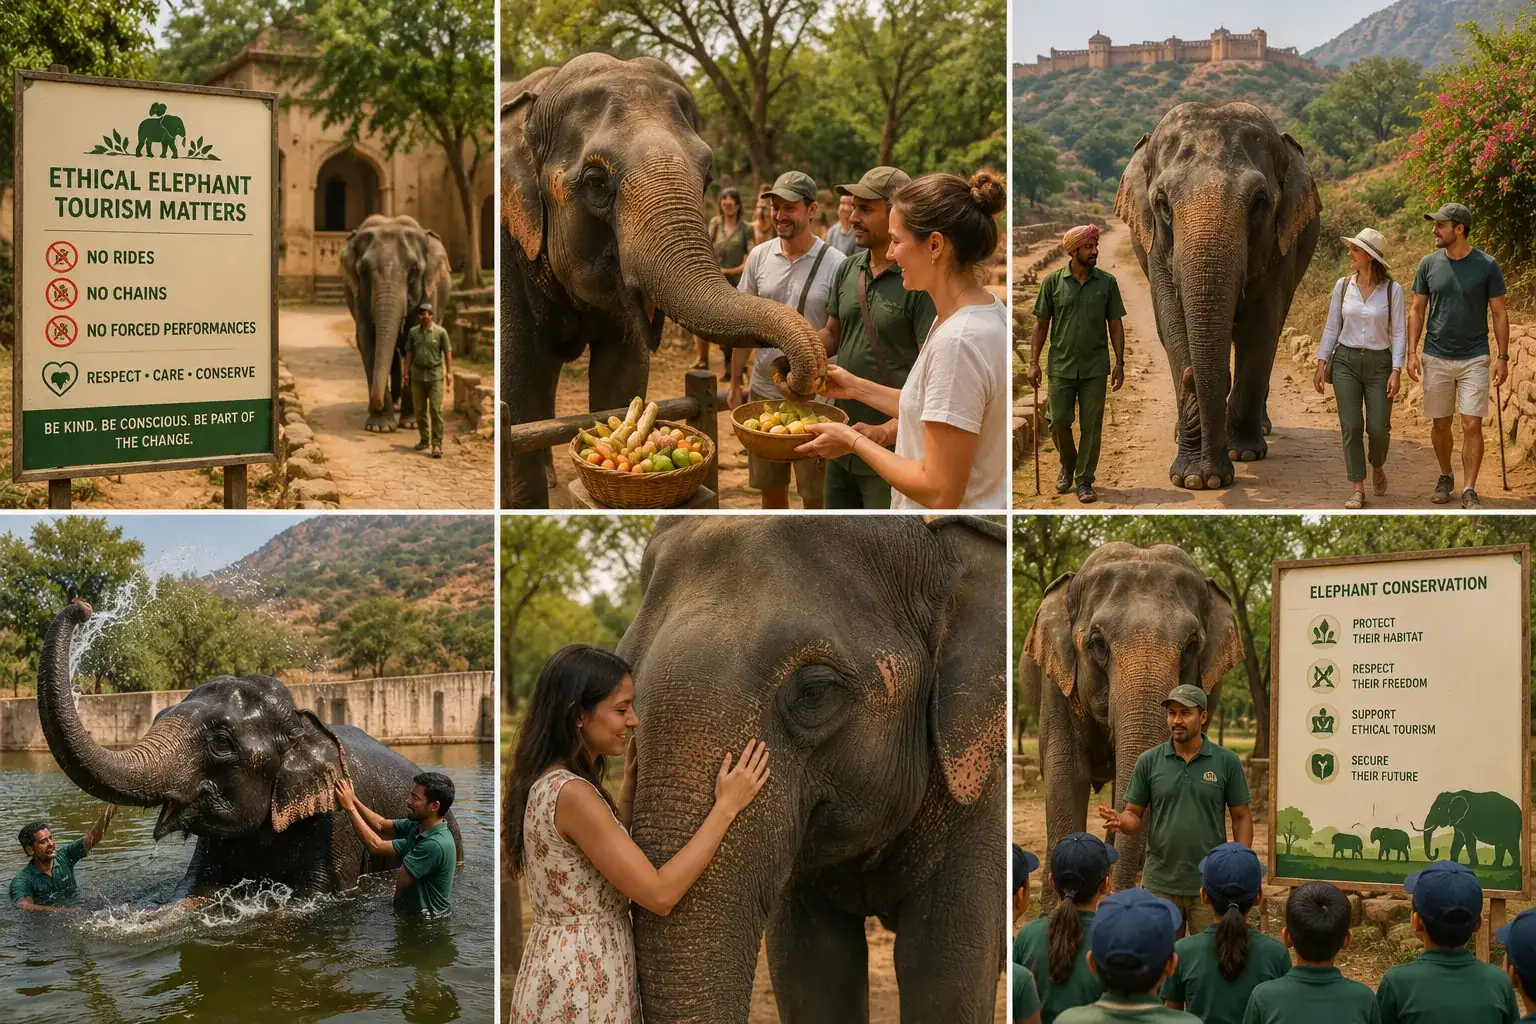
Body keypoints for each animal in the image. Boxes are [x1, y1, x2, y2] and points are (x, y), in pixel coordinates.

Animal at [36, 601, 463, 899]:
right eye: (157, 715)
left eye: (221, 743)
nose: (84, 607)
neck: (301, 726)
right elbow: (192, 890)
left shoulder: (335, 826)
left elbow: (314, 895)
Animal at [341, 215, 452, 433]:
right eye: (363, 270)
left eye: (415, 270)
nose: (374, 403)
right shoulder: (359, 298)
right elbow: (368, 342)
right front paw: (379, 427)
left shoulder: (430, 291)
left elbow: (413, 344)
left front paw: (410, 423)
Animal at [1115, 102, 1321, 489]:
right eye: (1162, 203)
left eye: (1259, 202)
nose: (1212, 476)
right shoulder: (1155, 248)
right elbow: (1171, 322)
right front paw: (1193, 479)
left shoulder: (1280, 247)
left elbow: (1262, 325)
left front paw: (1243, 456)